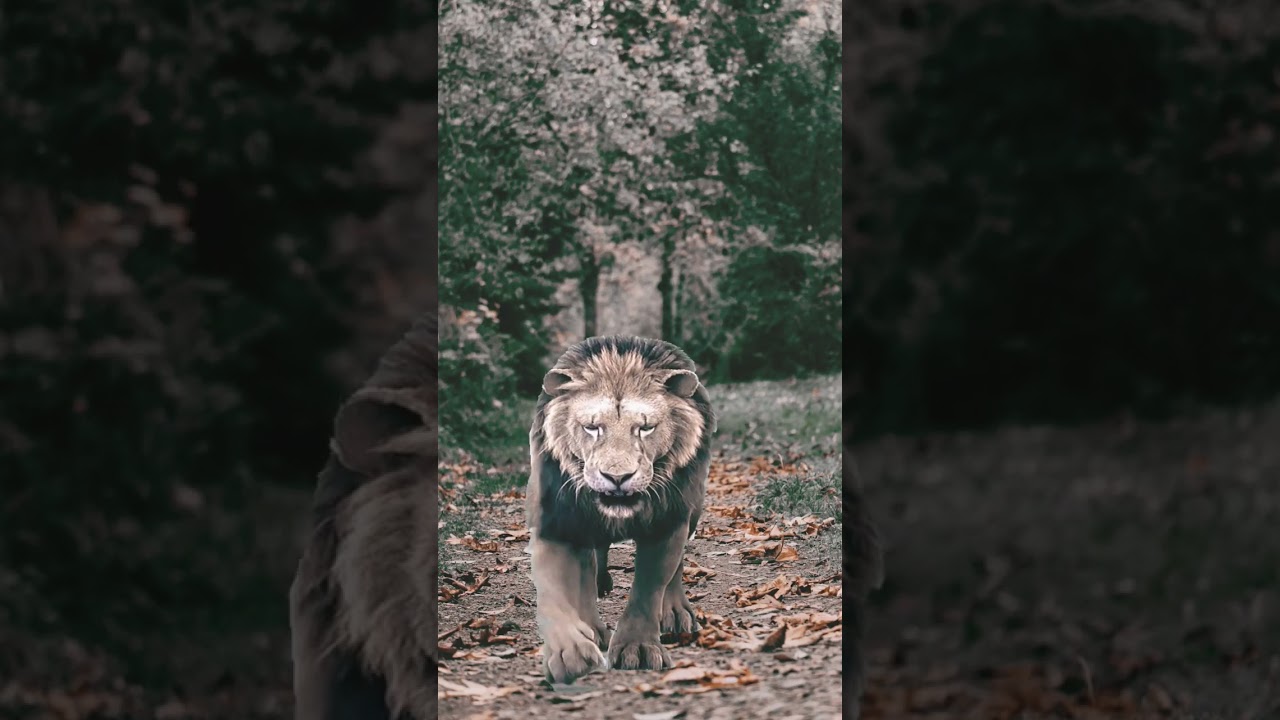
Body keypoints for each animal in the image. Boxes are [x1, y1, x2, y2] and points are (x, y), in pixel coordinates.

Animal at [525, 335, 715, 685]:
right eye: (591, 428)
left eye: (645, 428)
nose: (616, 477)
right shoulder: (556, 523)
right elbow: (556, 595)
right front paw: (571, 652)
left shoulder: (667, 521)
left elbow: (648, 589)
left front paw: (637, 649)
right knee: (589, 566)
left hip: (692, 507)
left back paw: (675, 613)